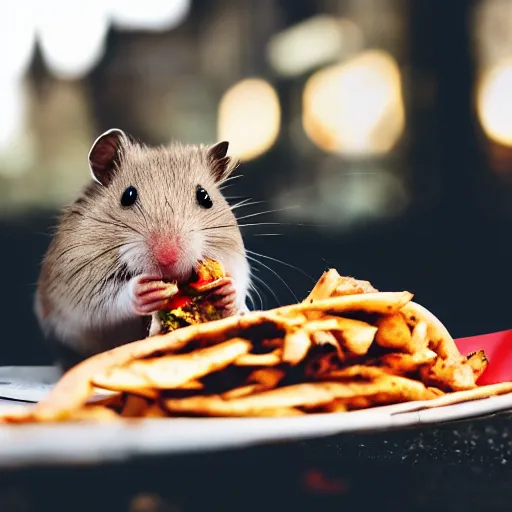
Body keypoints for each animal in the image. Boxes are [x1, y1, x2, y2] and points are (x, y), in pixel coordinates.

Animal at [35, 127, 251, 368]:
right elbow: (110, 304)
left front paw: (227, 291)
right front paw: (146, 291)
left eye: (205, 197)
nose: (168, 258)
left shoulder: (236, 260)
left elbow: (238, 283)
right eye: (127, 195)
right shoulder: (81, 287)